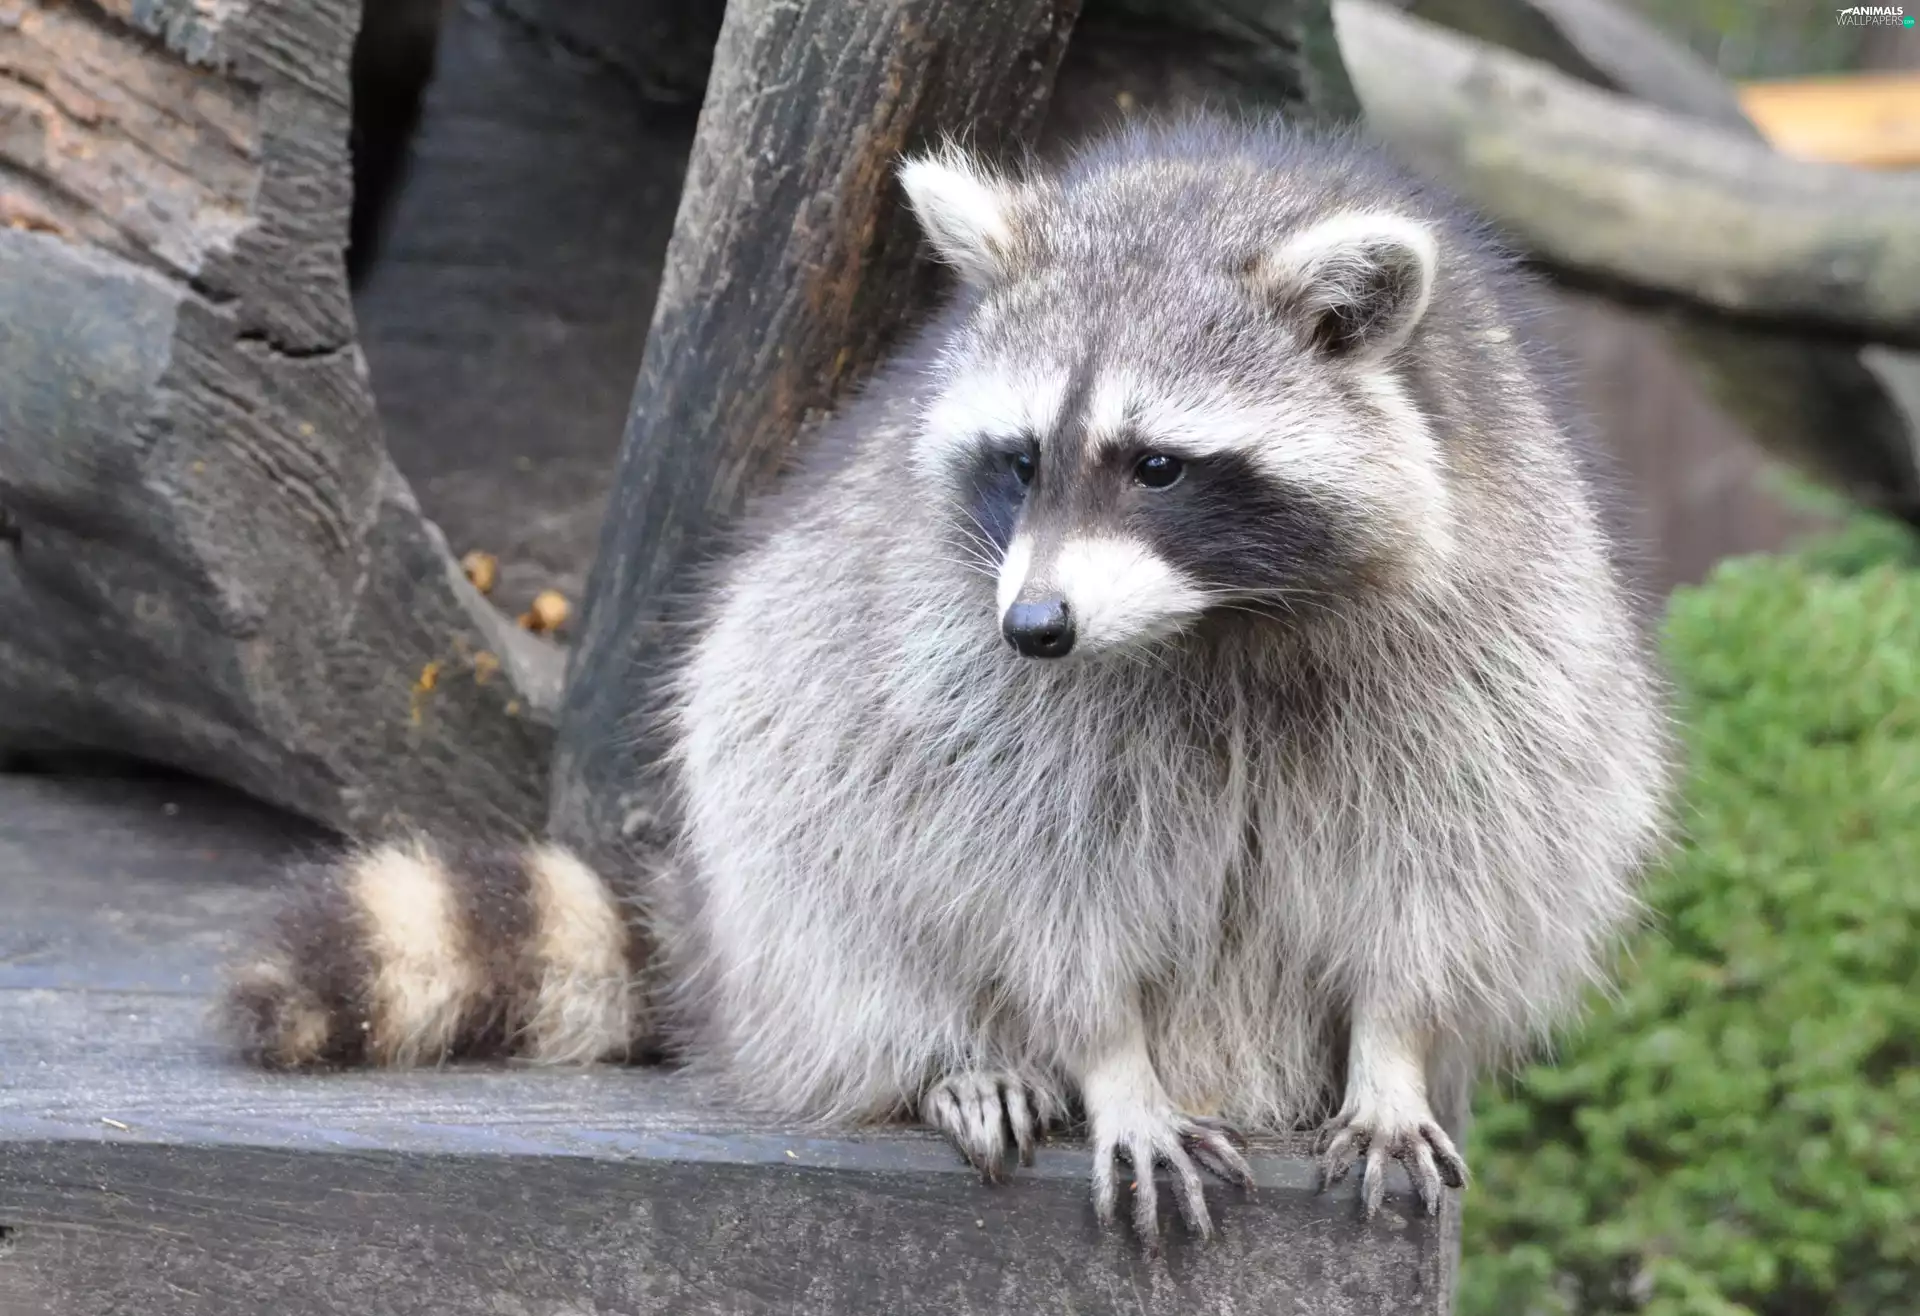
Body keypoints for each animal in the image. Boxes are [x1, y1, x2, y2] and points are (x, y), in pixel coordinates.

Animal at [224, 115, 1673, 1246]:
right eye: (1022, 457)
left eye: (1158, 465)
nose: (1034, 625)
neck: (1215, 622)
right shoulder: (972, 671)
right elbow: (1030, 869)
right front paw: (1112, 1059)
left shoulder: (1491, 624)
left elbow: (1449, 860)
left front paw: (1394, 1048)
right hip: (789, 801)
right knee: (828, 836)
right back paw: (953, 1055)